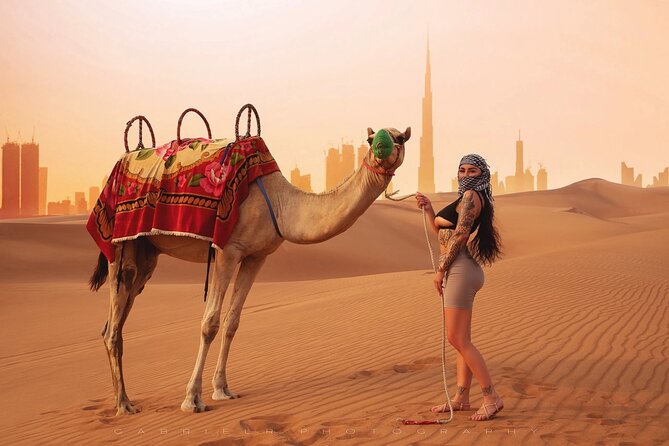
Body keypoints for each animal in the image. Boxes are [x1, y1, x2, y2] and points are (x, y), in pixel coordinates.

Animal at [89, 126, 410, 415]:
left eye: (400, 138)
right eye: (371, 139)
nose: (381, 148)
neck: (280, 204)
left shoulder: (256, 256)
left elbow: (232, 322)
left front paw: (222, 389)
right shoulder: (227, 250)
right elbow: (210, 323)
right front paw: (192, 399)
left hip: (147, 254)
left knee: (113, 322)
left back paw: (123, 400)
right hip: (121, 246)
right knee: (113, 326)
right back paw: (123, 405)